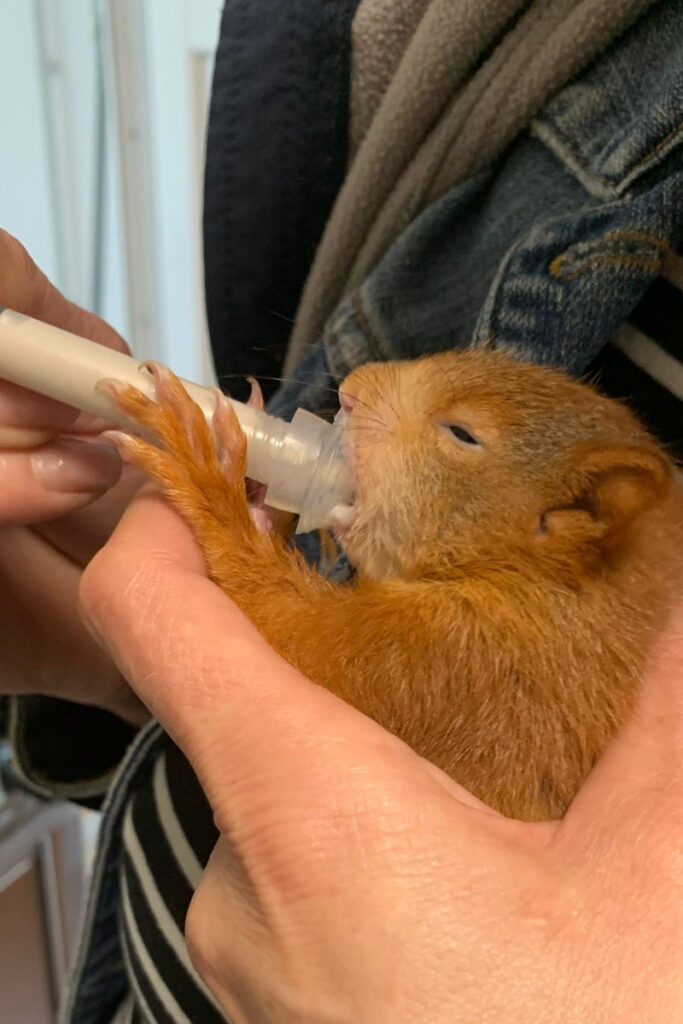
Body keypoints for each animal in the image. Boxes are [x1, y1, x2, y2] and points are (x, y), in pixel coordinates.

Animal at [104, 348, 683, 822]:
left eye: (463, 434)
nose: (350, 390)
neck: (553, 585)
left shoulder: (461, 664)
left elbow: (299, 636)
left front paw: (205, 471)